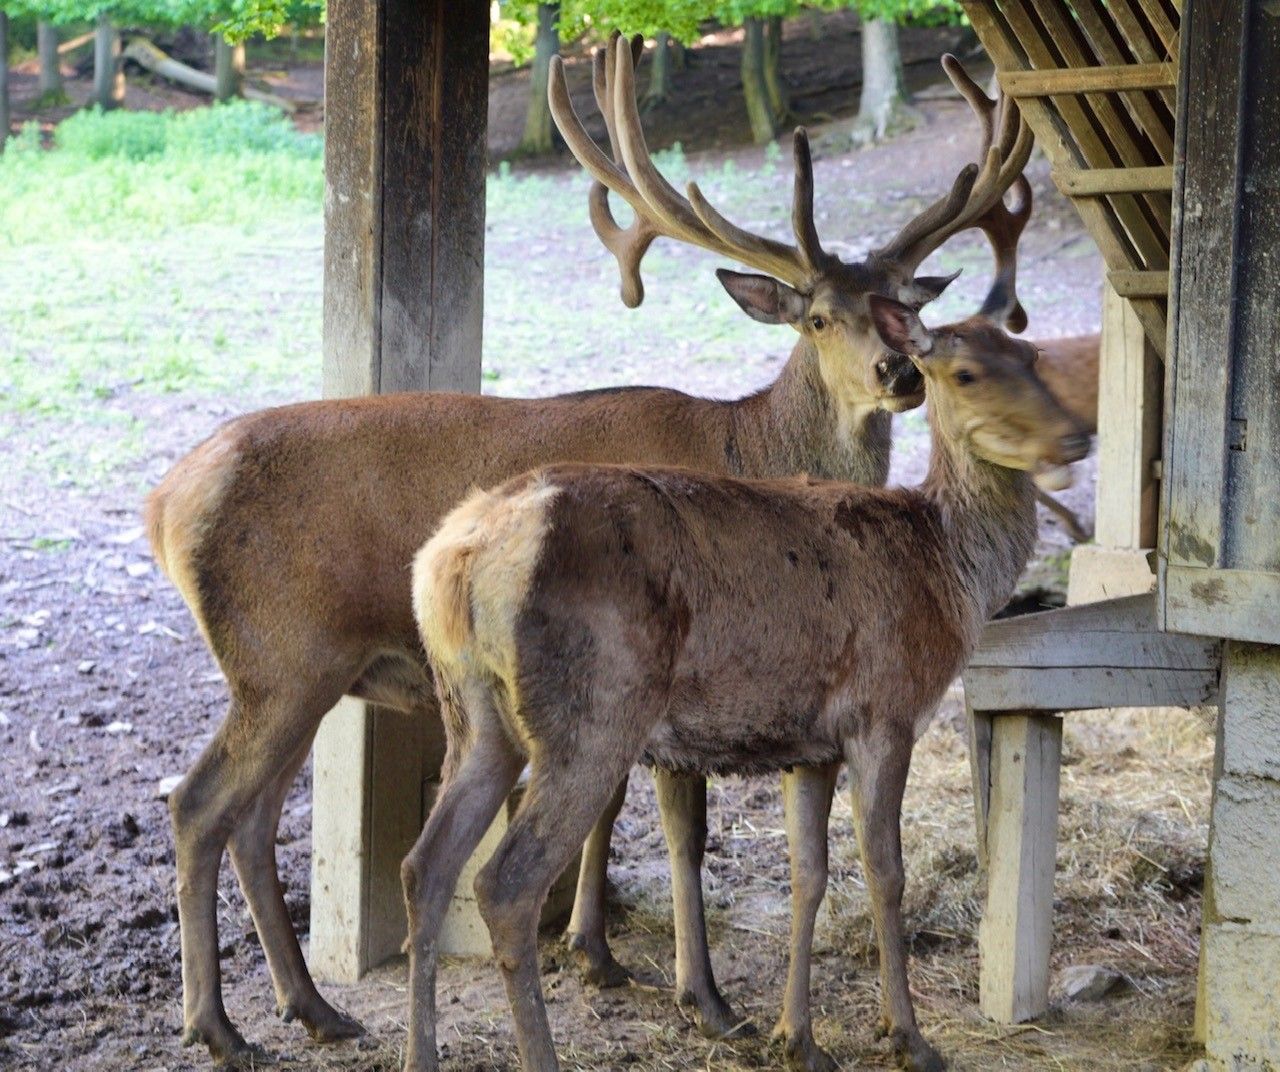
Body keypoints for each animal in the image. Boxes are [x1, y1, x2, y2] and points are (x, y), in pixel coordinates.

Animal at [407, 293, 1091, 1072]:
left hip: (473, 714)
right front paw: (909, 1037)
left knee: (426, 867)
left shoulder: (812, 744)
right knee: (505, 884)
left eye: (1033, 358)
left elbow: (809, 873)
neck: (948, 576)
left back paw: (419, 1054)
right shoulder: (884, 713)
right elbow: (885, 872)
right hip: (592, 714)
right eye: (966, 372)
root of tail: (453, 559)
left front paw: (798, 1038)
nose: (1075, 439)